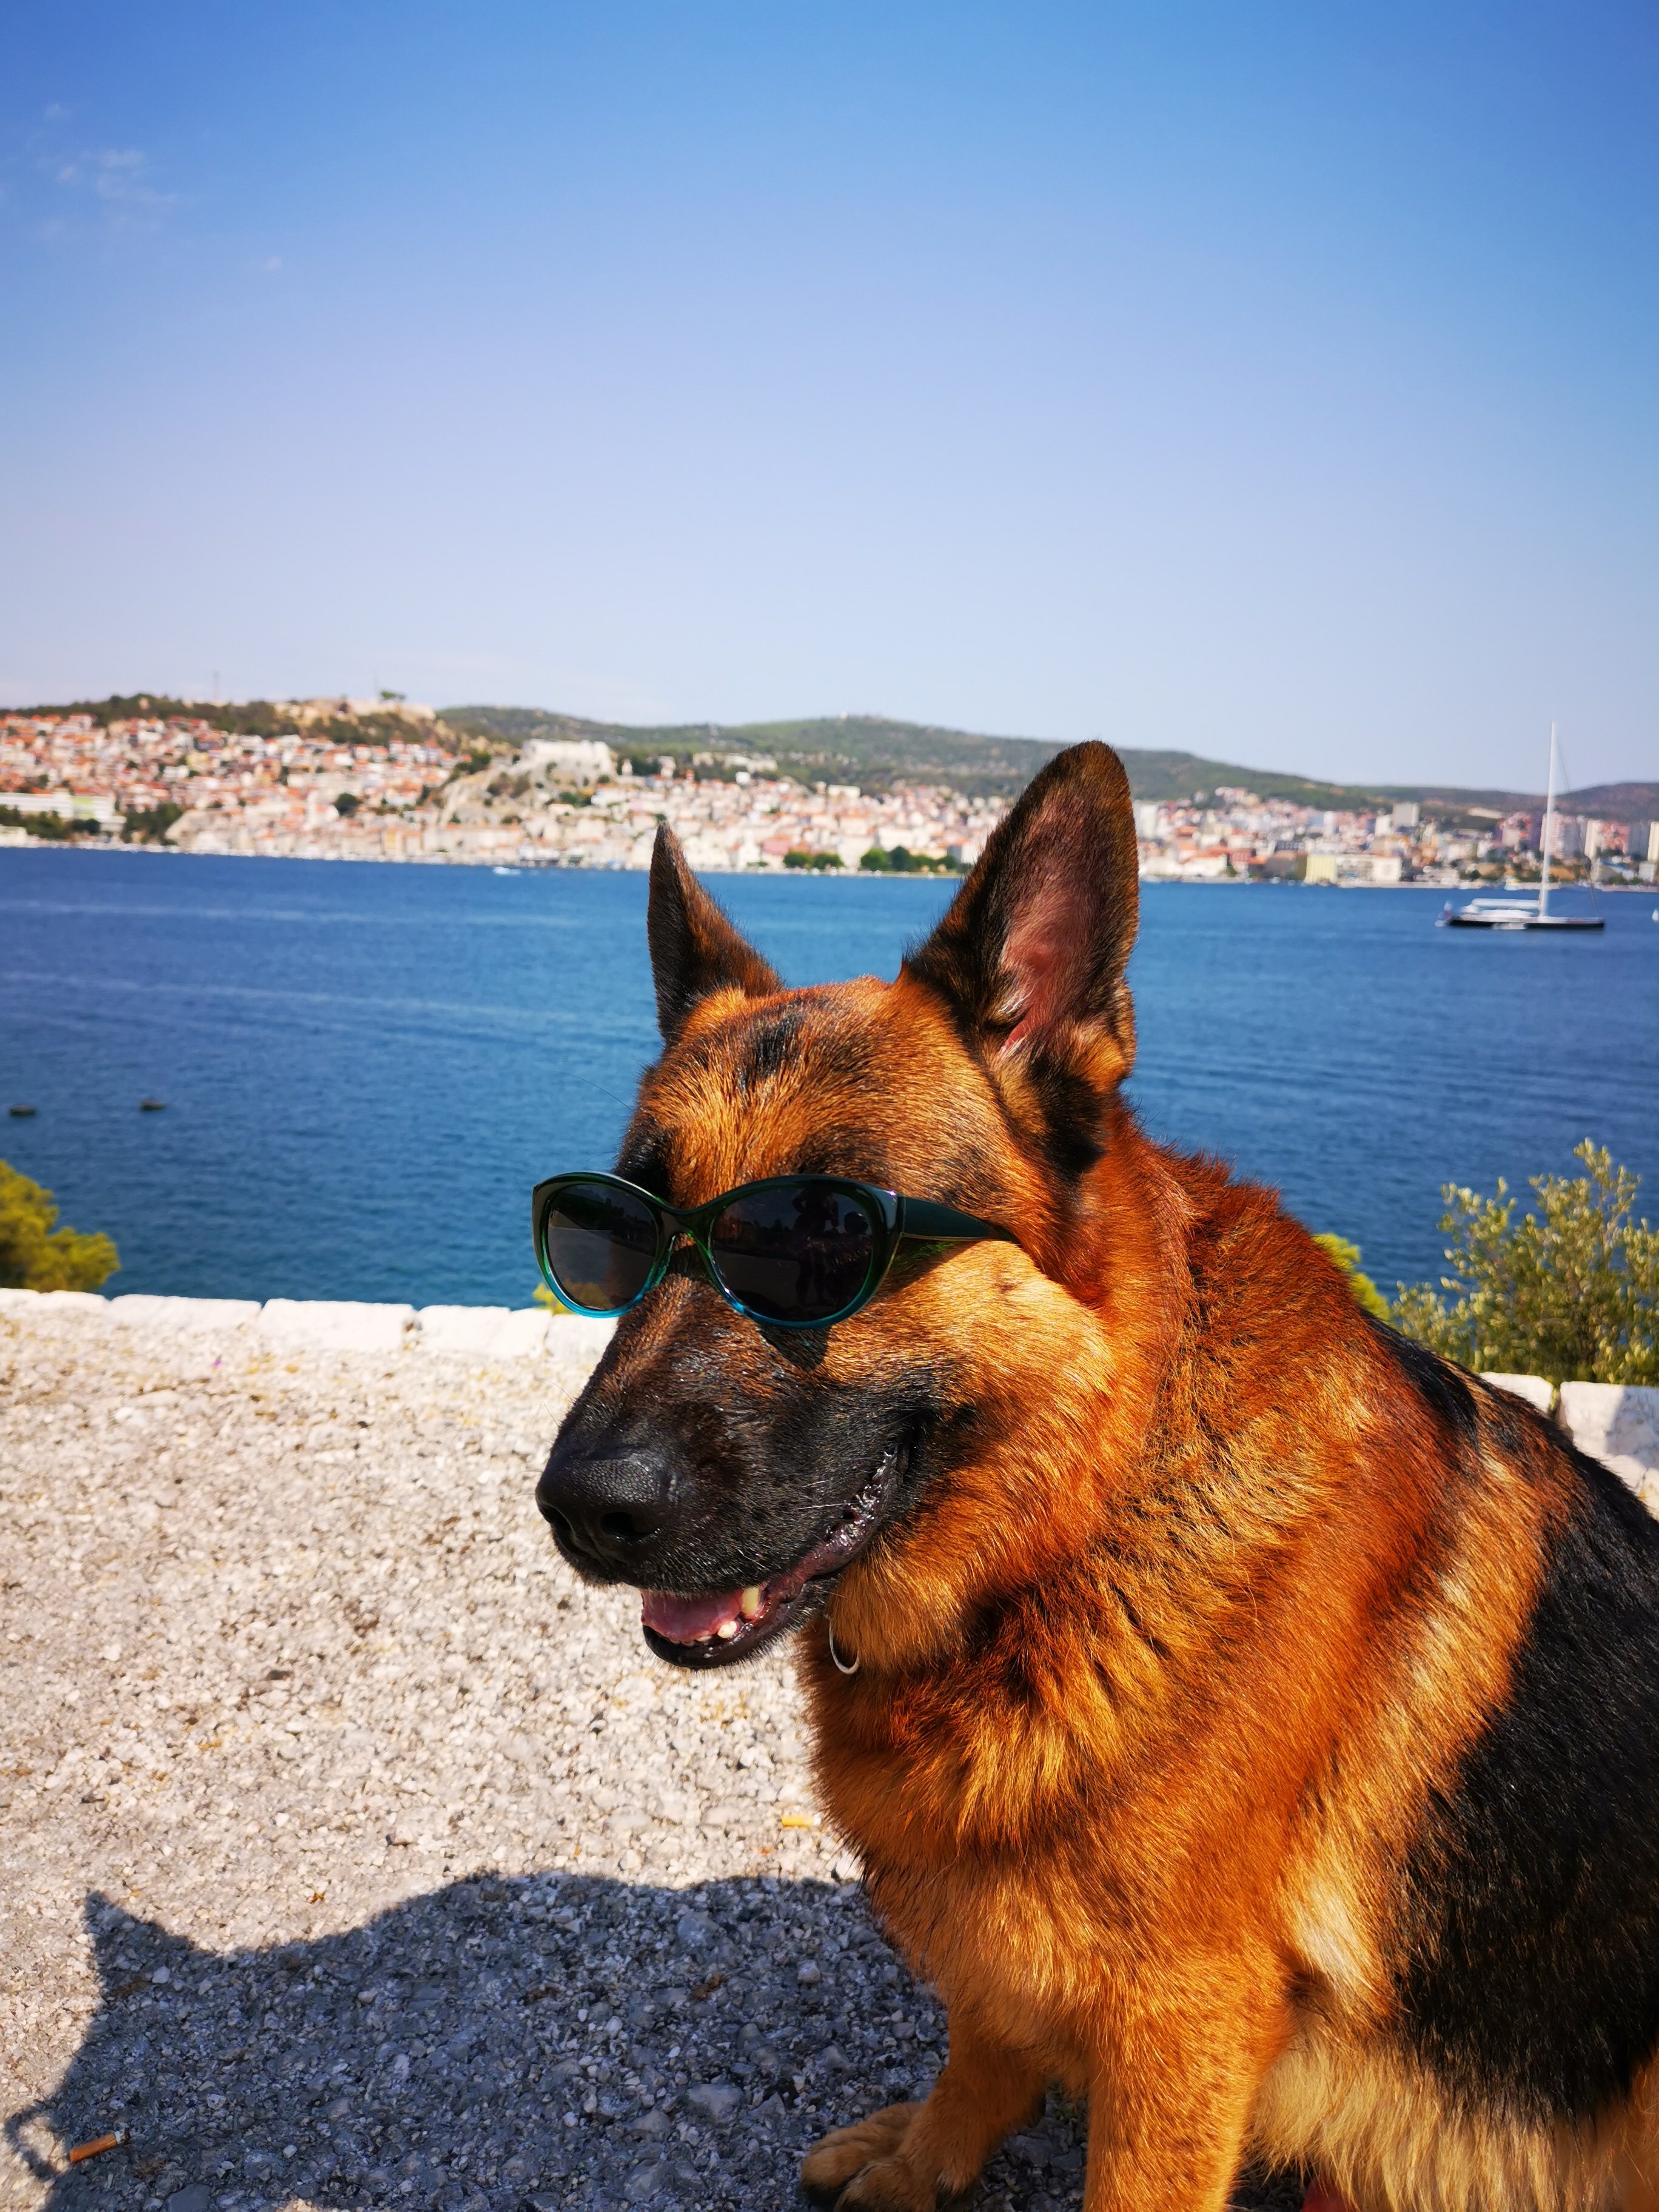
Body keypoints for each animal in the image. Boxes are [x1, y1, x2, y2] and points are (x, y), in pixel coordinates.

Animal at [537, 740, 1659, 2212]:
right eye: (603, 1230)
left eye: (819, 1236)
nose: (579, 1508)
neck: (1076, 1529)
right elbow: (982, 2033)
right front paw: (929, 2152)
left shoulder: (1181, 2034)